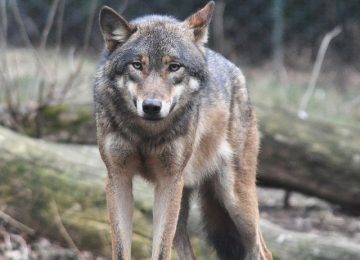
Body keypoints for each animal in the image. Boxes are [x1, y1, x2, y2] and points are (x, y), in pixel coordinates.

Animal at [94, 2, 272, 260]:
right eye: (137, 65)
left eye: (174, 67)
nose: (151, 106)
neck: (146, 134)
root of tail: (235, 70)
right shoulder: (118, 178)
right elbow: (120, 250)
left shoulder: (169, 181)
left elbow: (160, 252)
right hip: (184, 205)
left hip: (235, 199)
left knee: (262, 251)